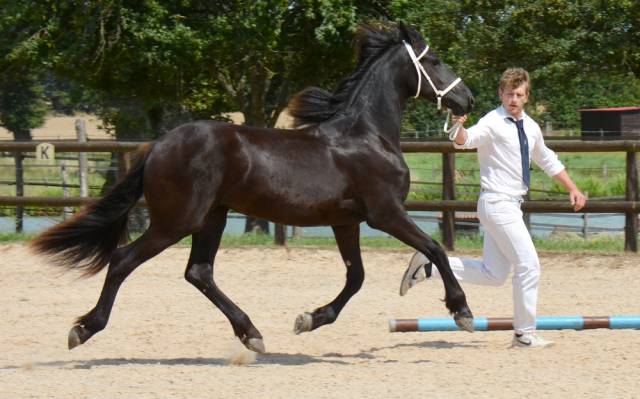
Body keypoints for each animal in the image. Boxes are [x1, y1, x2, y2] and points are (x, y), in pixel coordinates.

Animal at [31, 22, 476, 354]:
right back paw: (83, 329)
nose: (466, 99)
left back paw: (252, 334)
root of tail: (158, 144)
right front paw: (462, 312)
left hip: (213, 216)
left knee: (199, 272)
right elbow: (435, 248)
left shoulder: (346, 221)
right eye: (434, 60)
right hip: (177, 220)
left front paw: (308, 320)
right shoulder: (385, 213)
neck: (366, 135)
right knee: (124, 259)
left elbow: (357, 277)